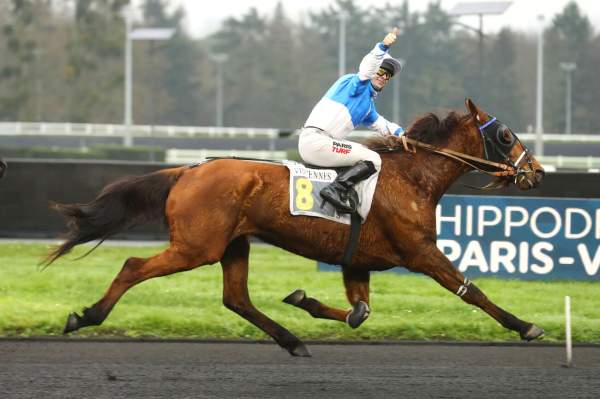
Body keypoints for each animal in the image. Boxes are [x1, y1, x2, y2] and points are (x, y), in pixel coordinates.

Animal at [45, 100, 544, 356]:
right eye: (505, 135)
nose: (535, 172)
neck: (412, 179)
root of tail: (187, 170)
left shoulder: (357, 261)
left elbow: (360, 312)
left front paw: (303, 299)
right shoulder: (420, 252)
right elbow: (471, 292)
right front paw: (526, 326)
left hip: (233, 244)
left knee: (236, 299)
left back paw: (292, 340)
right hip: (198, 246)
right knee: (132, 265)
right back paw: (86, 316)